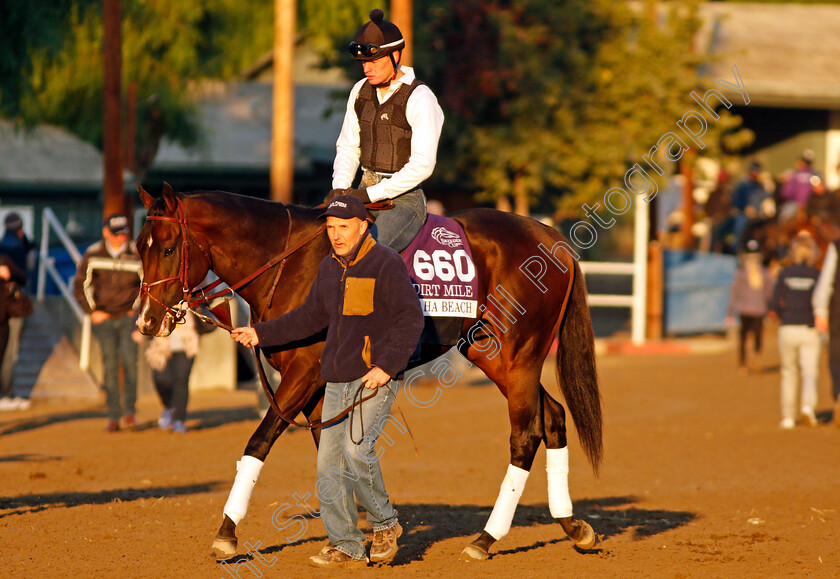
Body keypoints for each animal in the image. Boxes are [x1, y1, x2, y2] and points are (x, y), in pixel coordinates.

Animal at [135, 185, 600, 560]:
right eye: (141, 247)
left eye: (169, 248)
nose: (146, 321)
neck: (292, 266)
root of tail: (551, 236)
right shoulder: (322, 387)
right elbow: (329, 452)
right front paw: (350, 539)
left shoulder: (304, 374)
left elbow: (259, 441)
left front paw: (227, 534)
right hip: (495, 356)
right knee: (553, 416)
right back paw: (573, 526)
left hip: (517, 356)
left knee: (525, 435)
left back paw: (485, 539)